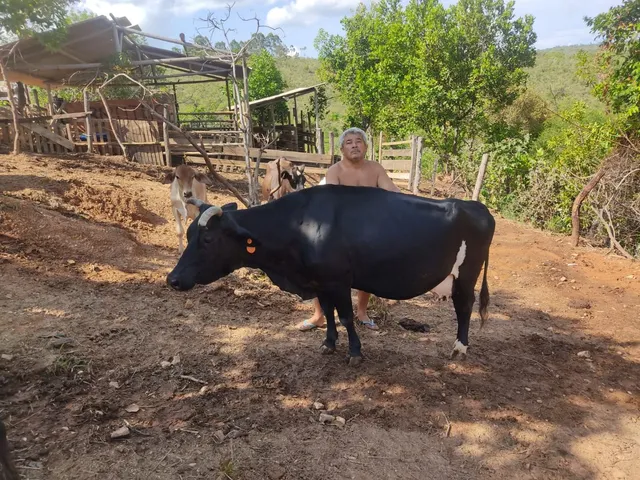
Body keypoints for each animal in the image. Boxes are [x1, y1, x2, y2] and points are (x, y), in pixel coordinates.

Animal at [166, 185, 495, 365]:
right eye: (190, 234)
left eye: (208, 239)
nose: (172, 279)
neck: (300, 226)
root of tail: (477, 206)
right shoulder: (319, 282)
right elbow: (327, 312)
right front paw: (328, 344)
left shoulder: (338, 281)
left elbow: (346, 316)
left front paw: (354, 352)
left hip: (466, 274)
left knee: (464, 307)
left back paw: (460, 348)